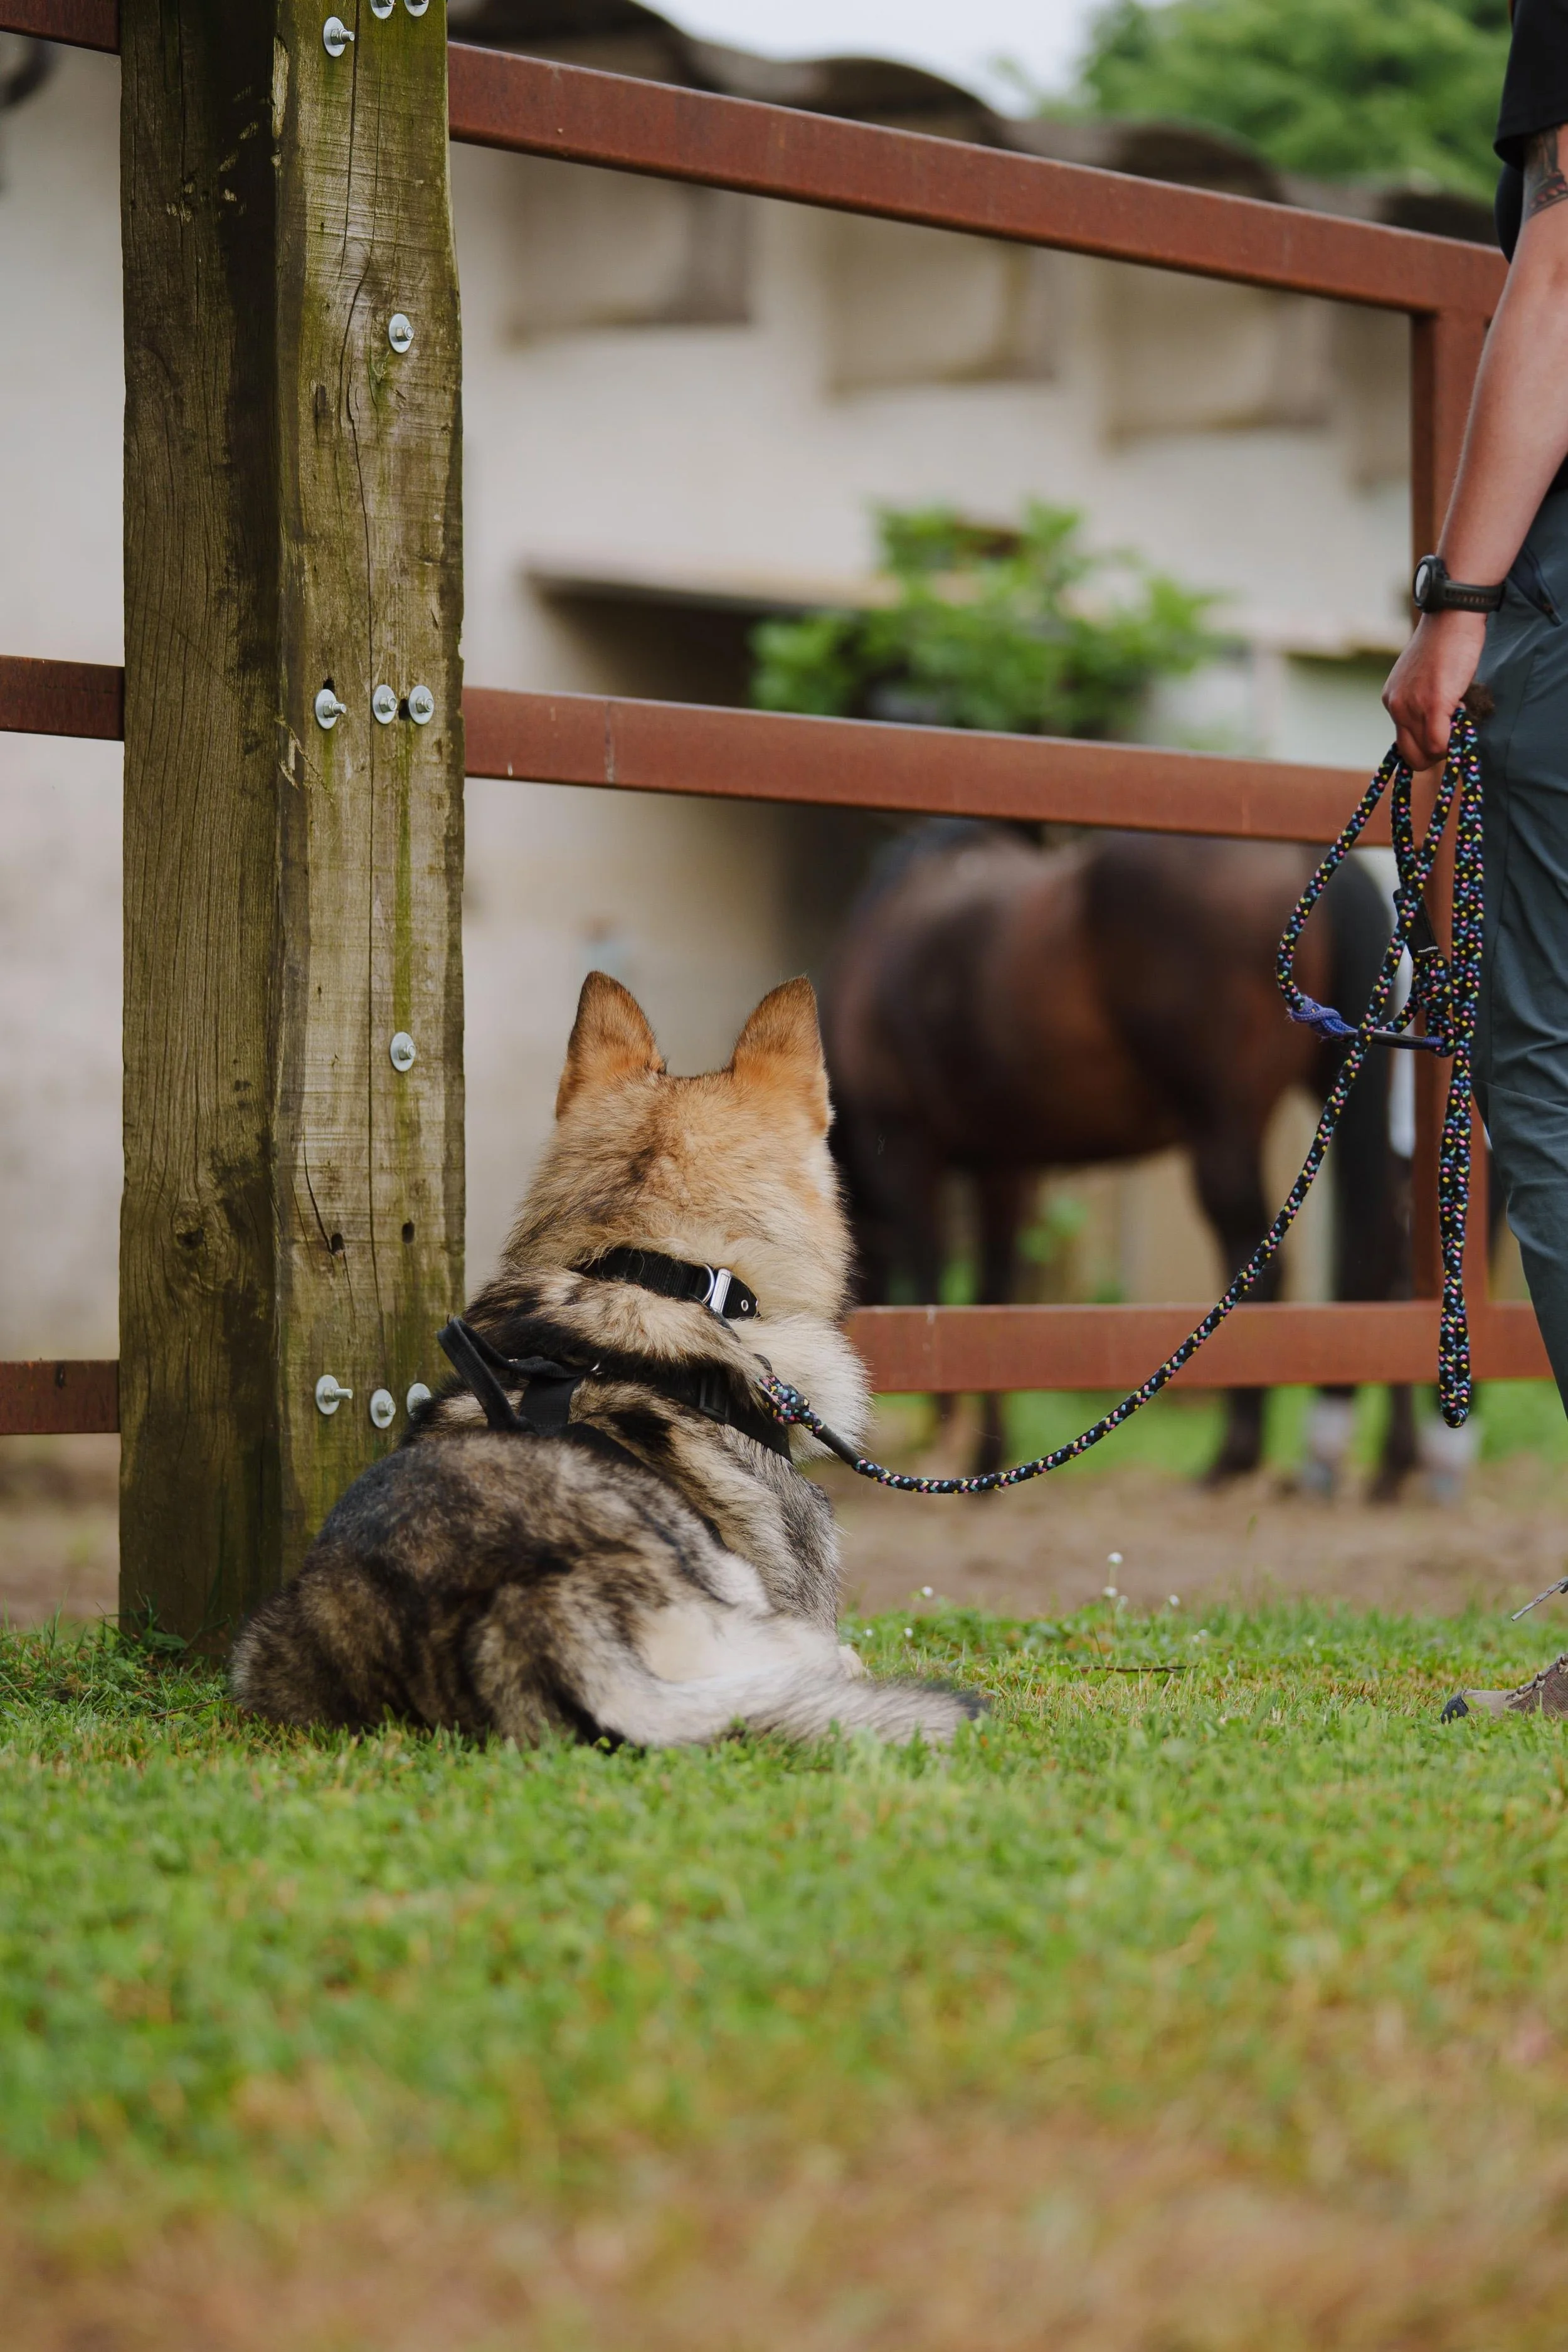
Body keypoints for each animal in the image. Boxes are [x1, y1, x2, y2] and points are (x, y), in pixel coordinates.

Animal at [823, 819, 1416, 1492]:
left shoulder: (905, 1145)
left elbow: (932, 1284)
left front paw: (947, 1441)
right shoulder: (1003, 1165)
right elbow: (989, 1293)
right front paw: (982, 1460)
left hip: (1222, 1130)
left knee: (1258, 1267)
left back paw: (1234, 1454)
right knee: (1390, 1257)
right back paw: (1388, 1462)